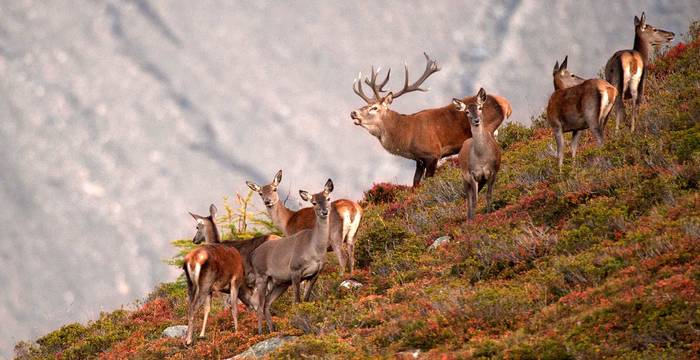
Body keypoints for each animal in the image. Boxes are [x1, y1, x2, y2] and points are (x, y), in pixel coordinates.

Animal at [250, 179, 334, 334]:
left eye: (328, 198)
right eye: (314, 202)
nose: (324, 211)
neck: (314, 250)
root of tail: (253, 254)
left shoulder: (315, 273)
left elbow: (306, 300)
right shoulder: (295, 270)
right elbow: (297, 301)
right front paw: (300, 324)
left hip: (280, 282)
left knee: (267, 303)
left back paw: (272, 330)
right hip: (262, 276)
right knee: (259, 304)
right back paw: (260, 333)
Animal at [352, 52, 512, 187]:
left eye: (374, 108)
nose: (353, 113)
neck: (406, 137)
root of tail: (504, 103)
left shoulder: (432, 153)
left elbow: (428, 181)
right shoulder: (418, 159)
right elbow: (415, 183)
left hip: (488, 128)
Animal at [456, 88, 500, 221]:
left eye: (480, 107)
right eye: (466, 111)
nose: (476, 120)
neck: (481, 157)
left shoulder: (493, 171)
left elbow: (489, 195)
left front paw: (489, 213)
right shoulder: (472, 174)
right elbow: (474, 200)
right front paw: (474, 220)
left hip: (482, 180)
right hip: (464, 177)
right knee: (468, 198)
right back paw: (469, 218)